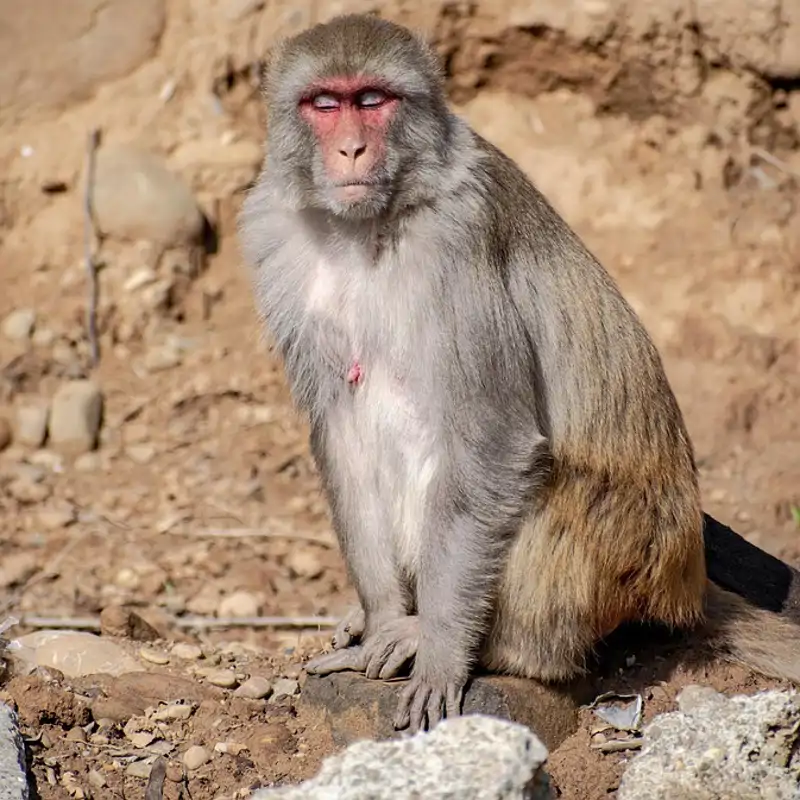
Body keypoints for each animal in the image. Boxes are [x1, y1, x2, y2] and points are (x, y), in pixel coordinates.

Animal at [238, 13, 800, 734]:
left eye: (373, 100)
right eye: (324, 104)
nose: (352, 151)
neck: (370, 229)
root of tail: (686, 580)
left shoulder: (458, 244)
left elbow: (492, 440)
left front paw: (440, 650)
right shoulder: (278, 238)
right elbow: (340, 427)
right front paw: (383, 618)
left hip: (625, 557)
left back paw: (487, 645)